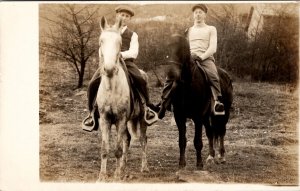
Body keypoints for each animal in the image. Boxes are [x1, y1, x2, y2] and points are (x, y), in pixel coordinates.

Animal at [97, 16, 151, 181]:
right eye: (101, 41)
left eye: (119, 43)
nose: (108, 69)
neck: (111, 88)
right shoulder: (105, 119)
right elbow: (105, 148)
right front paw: (102, 176)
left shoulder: (120, 119)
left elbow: (118, 149)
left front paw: (116, 176)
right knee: (127, 139)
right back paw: (123, 168)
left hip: (141, 119)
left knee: (142, 140)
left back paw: (144, 168)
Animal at [165, 33, 233, 169]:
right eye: (167, 48)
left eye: (180, 49)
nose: (170, 74)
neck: (187, 86)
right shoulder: (179, 116)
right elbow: (182, 141)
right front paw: (182, 163)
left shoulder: (197, 117)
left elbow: (197, 141)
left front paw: (199, 164)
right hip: (207, 117)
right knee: (210, 133)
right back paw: (211, 156)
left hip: (224, 113)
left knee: (221, 132)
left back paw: (221, 156)